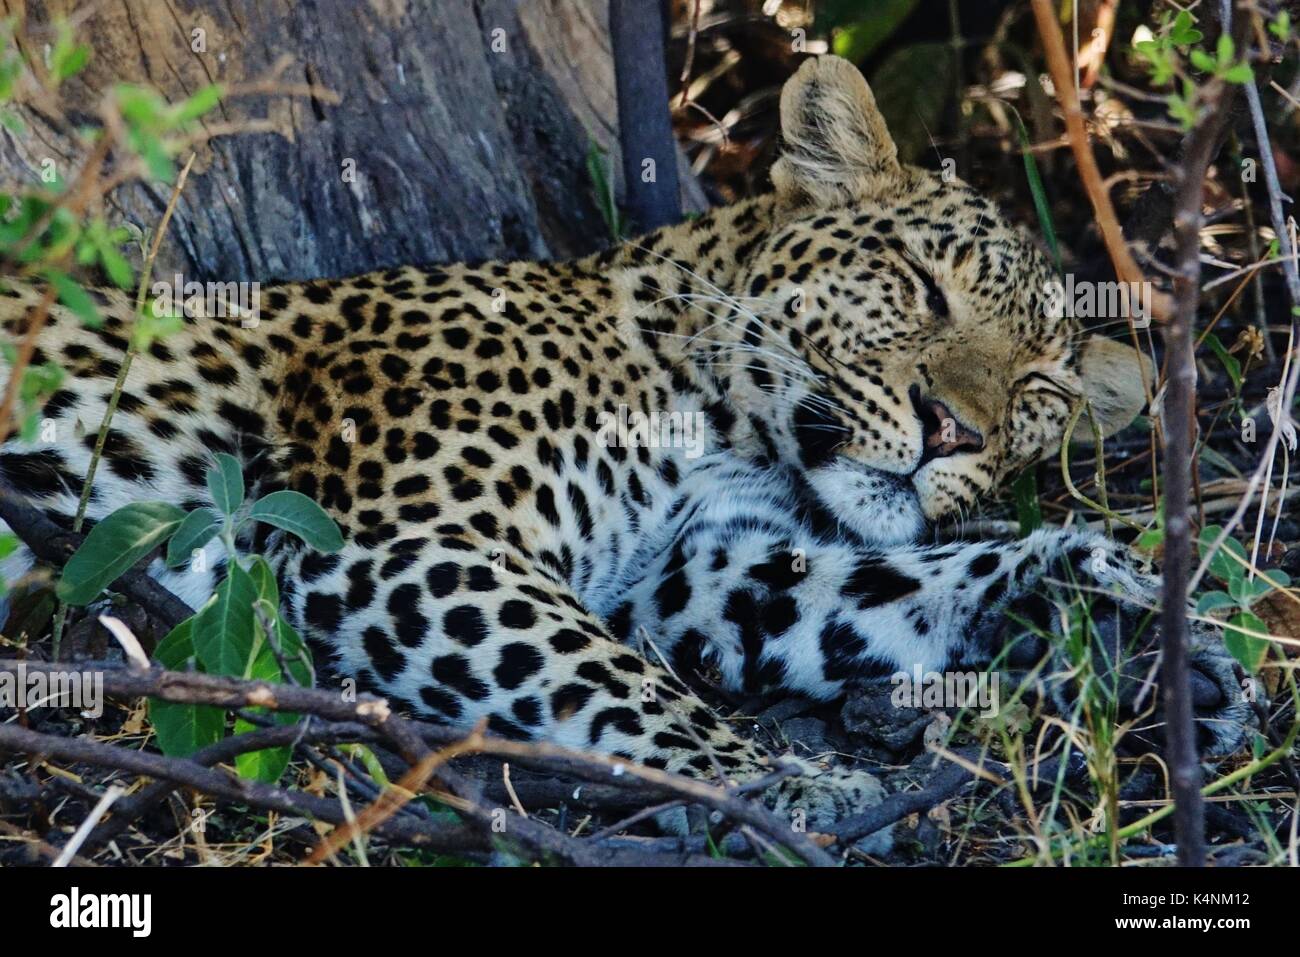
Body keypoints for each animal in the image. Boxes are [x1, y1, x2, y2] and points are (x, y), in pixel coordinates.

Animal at [0, 56, 1250, 849]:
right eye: (917, 284)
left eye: (1037, 387)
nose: (953, 429)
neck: (721, 426)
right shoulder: (400, 545)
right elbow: (616, 683)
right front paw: (784, 783)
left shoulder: (705, 574)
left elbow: (903, 585)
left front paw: (1114, 613)